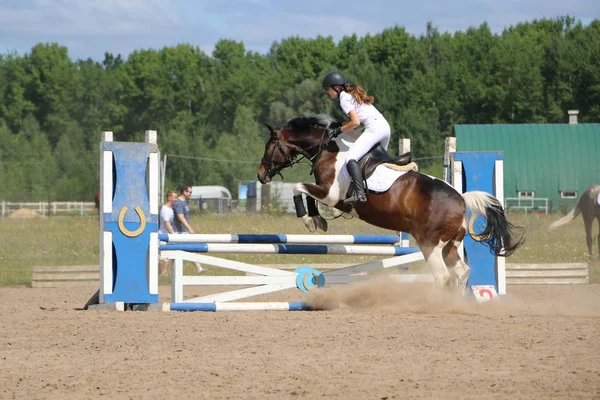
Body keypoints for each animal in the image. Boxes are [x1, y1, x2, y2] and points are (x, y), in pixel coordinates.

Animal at [255, 115, 524, 294]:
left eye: (269, 145)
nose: (260, 174)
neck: (329, 149)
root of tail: (461, 198)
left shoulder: (331, 195)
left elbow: (299, 188)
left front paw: (309, 219)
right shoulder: (326, 193)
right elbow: (306, 193)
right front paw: (318, 220)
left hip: (430, 243)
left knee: (442, 275)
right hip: (450, 245)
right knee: (461, 272)